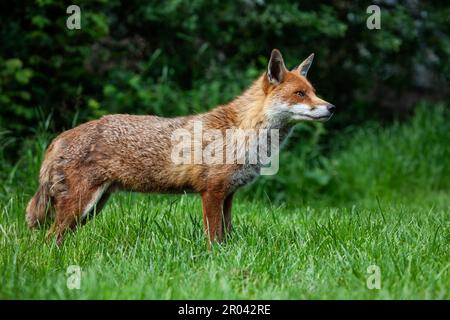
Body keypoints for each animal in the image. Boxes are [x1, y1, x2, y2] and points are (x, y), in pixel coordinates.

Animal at [24, 48, 334, 245]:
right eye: (300, 94)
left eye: (314, 91)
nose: (331, 107)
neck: (243, 133)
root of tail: (59, 137)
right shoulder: (211, 192)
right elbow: (214, 239)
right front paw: (214, 263)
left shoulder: (228, 194)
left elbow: (227, 236)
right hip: (81, 206)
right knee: (48, 239)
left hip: (92, 208)